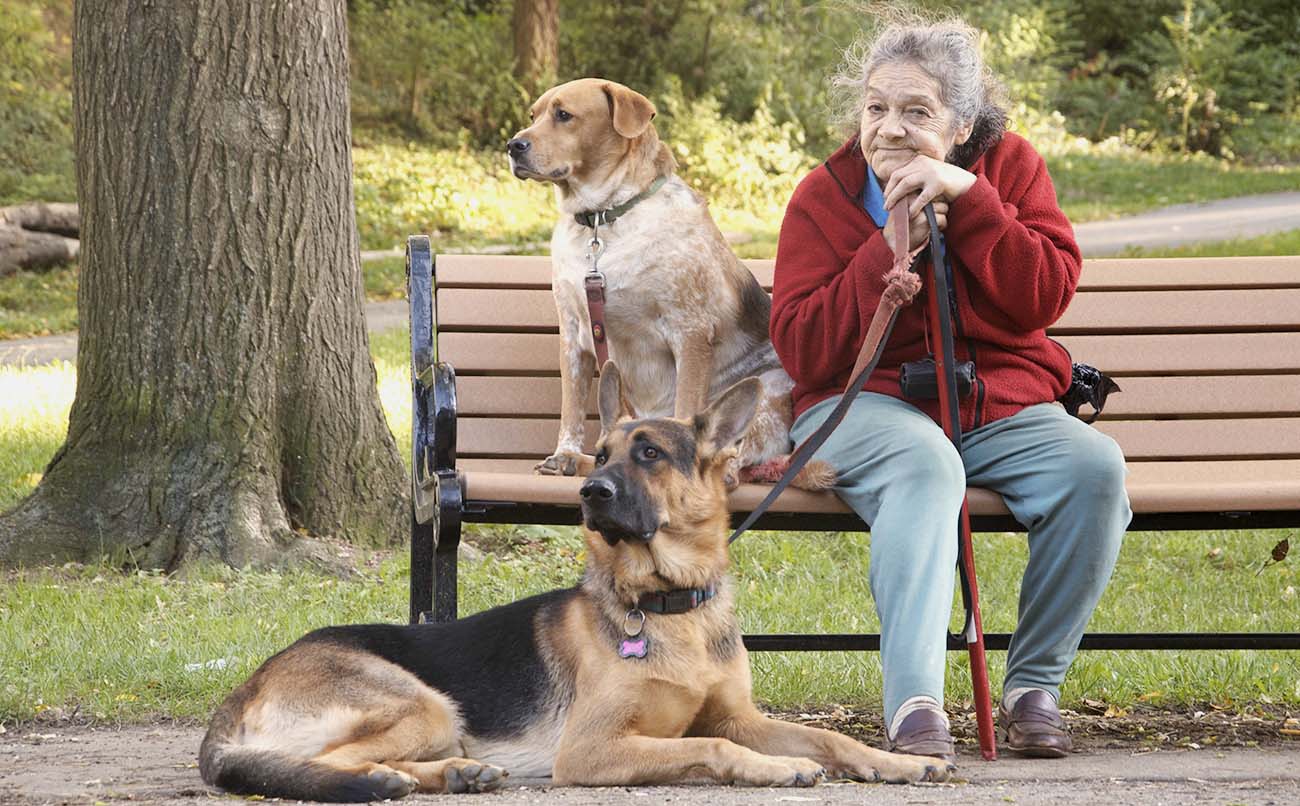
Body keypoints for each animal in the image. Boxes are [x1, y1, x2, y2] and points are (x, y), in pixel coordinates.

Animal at [200, 364, 956, 800]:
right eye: (600, 454)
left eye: (649, 454)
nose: (590, 493)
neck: (667, 607)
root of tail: (248, 686)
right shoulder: (596, 747)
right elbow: (712, 747)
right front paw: (772, 770)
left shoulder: (739, 715)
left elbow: (825, 739)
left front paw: (897, 762)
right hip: (423, 704)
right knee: (337, 763)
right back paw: (396, 778)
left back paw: (457, 774)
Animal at [506, 78, 832, 488]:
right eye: (533, 115)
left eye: (564, 114)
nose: (513, 146)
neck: (603, 220)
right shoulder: (574, 334)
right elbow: (571, 411)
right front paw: (564, 453)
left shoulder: (689, 331)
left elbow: (686, 410)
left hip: (766, 390)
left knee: (737, 459)